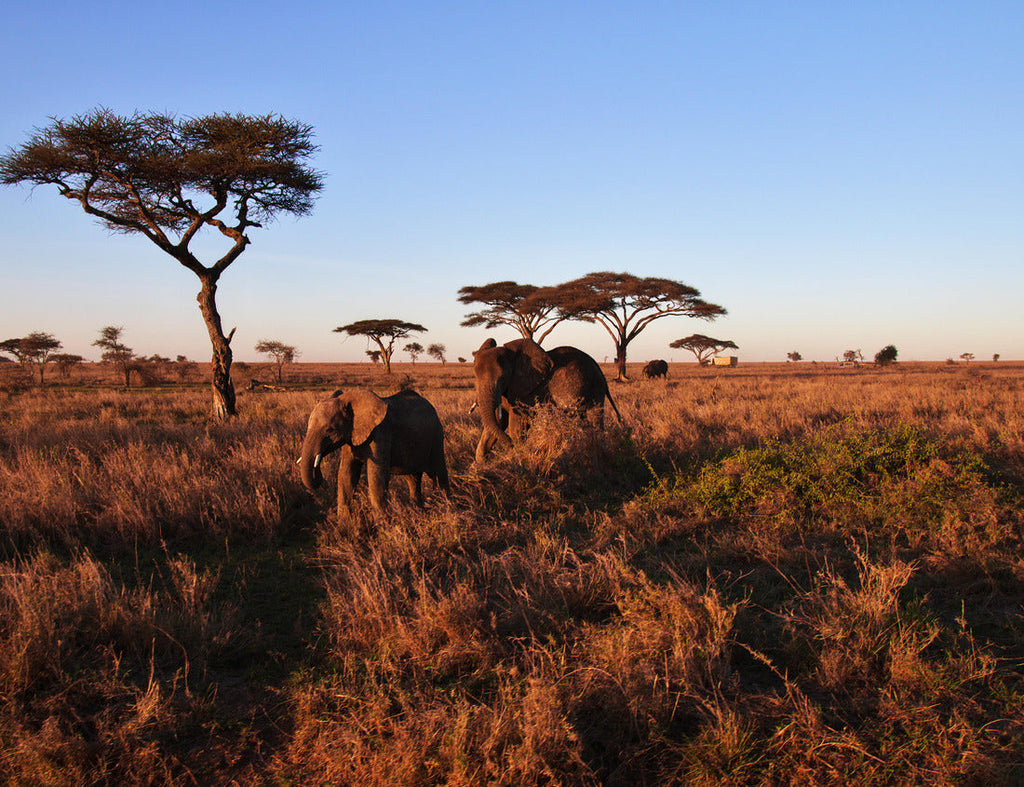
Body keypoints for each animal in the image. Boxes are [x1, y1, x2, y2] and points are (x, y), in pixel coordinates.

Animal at [299, 388, 450, 519]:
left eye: (330, 430)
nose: (318, 474)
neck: (348, 400)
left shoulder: (380, 433)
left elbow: (376, 476)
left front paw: (381, 525)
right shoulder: (350, 438)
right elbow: (346, 475)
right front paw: (343, 524)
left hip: (436, 435)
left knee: (439, 473)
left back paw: (446, 506)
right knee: (413, 478)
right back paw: (418, 511)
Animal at [471, 337, 622, 463]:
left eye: (502, 379)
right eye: (475, 377)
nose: (510, 445)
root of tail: (599, 369)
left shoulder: (526, 391)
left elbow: (516, 427)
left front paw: (516, 456)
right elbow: (497, 423)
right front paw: (479, 465)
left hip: (595, 387)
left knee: (595, 420)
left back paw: (598, 454)